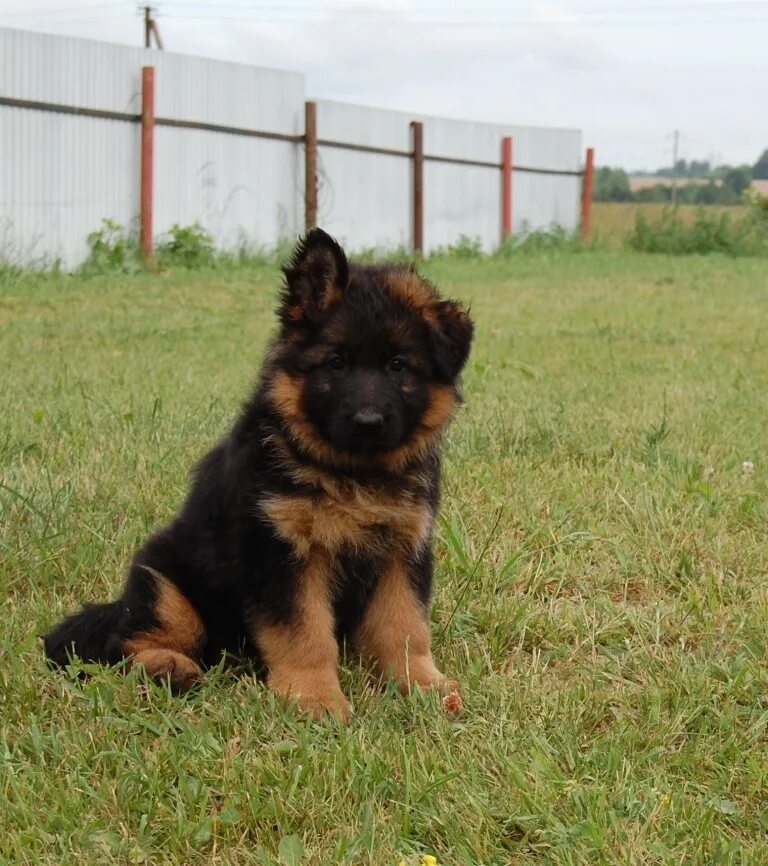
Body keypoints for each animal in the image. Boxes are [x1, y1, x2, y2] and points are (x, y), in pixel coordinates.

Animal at [45, 226, 474, 720]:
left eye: (398, 365)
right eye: (336, 362)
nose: (368, 422)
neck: (349, 472)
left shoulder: (403, 550)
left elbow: (405, 627)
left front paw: (422, 685)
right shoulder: (281, 552)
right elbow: (306, 634)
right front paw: (315, 699)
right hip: (166, 587)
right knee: (129, 642)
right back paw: (171, 667)